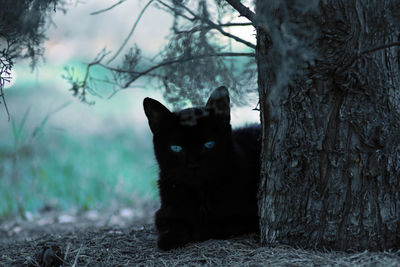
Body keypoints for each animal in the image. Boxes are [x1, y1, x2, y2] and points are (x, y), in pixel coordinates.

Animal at [143, 86, 260, 251]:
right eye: (176, 148)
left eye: (208, 144)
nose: (193, 164)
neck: (200, 194)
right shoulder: (164, 211)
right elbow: (171, 224)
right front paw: (168, 239)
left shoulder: (247, 215)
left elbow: (215, 224)